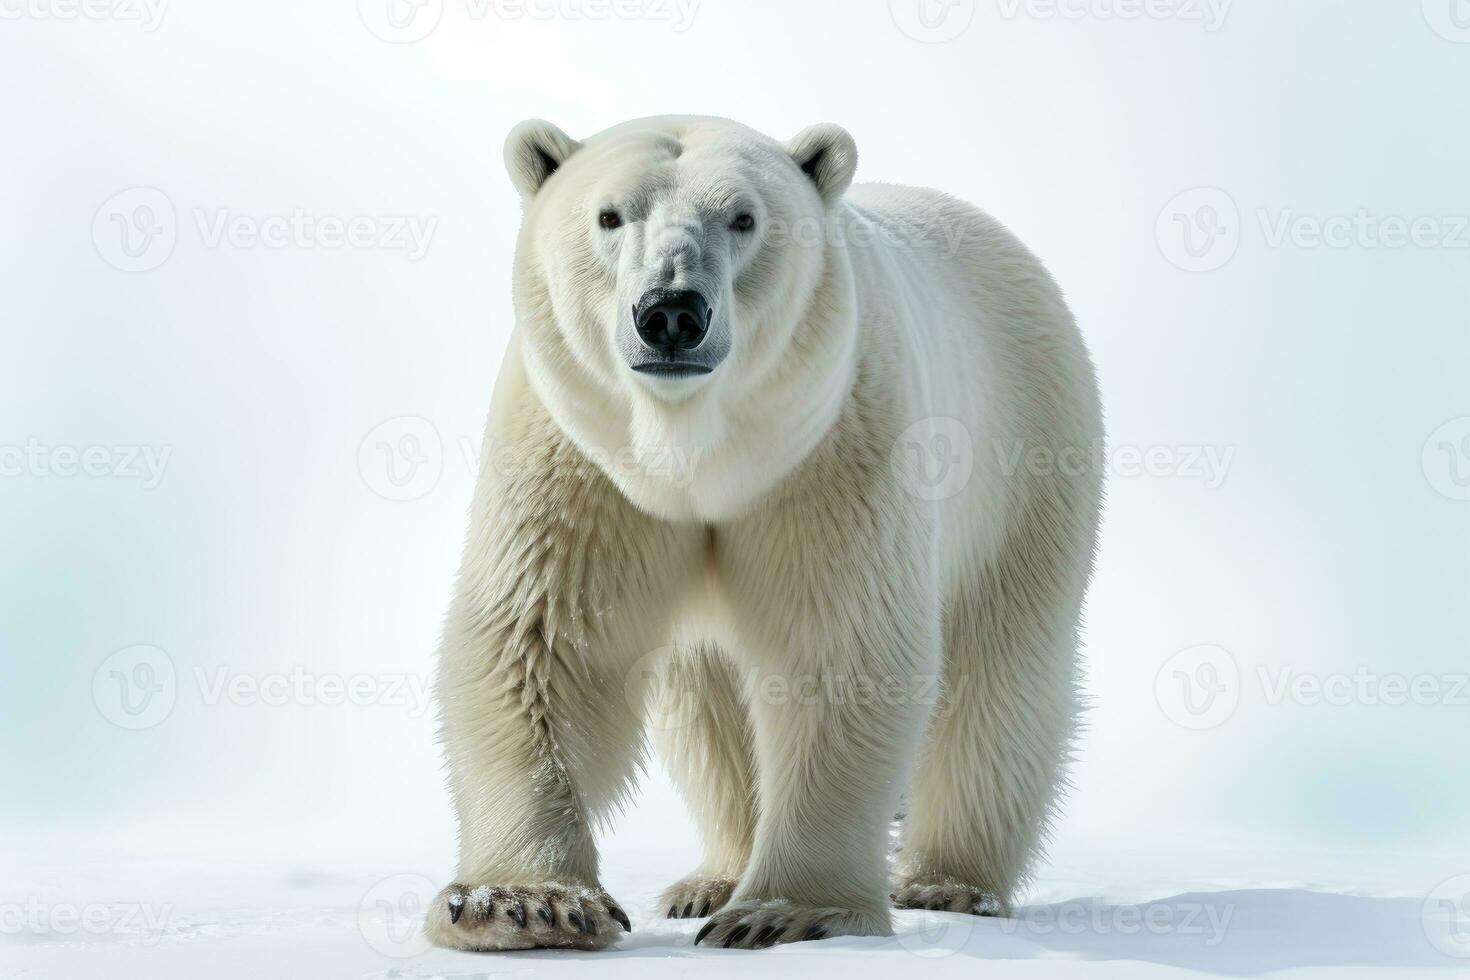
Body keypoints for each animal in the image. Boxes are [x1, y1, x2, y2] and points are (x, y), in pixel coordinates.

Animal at [426, 115, 1105, 952]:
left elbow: (838, 646)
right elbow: (540, 642)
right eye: (610, 215)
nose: (672, 312)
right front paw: (523, 904)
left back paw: (947, 882)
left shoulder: (832, 445)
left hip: (1025, 458)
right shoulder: (576, 460)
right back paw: (712, 878)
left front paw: (787, 912)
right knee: (707, 704)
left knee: (1001, 673)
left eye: (744, 218)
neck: (693, 452)